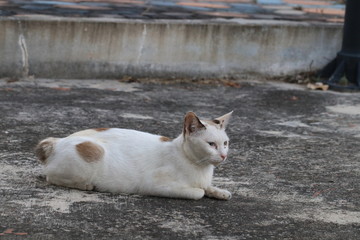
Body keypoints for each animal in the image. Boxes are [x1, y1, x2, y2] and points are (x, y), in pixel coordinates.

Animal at [35, 111, 233, 200]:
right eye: (211, 144)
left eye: (225, 143)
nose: (224, 156)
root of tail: (57, 141)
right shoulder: (154, 185)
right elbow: (199, 192)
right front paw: (206, 191)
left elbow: (207, 187)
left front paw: (220, 192)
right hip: (91, 155)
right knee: (50, 177)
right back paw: (86, 185)